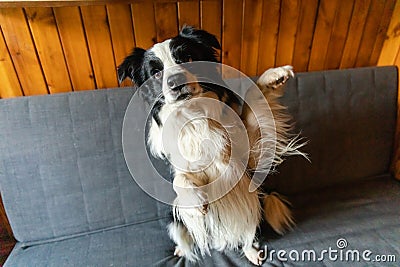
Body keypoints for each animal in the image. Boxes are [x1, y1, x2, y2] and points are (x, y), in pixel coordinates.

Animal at [117, 26, 304, 266]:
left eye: (188, 57)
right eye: (156, 73)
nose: (175, 80)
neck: (195, 115)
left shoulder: (250, 156)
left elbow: (253, 100)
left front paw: (274, 75)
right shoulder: (184, 168)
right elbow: (180, 179)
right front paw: (196, 201)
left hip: (257, 200)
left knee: (249, 232)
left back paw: (252, 253)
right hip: (173, 218)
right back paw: (181, 249)